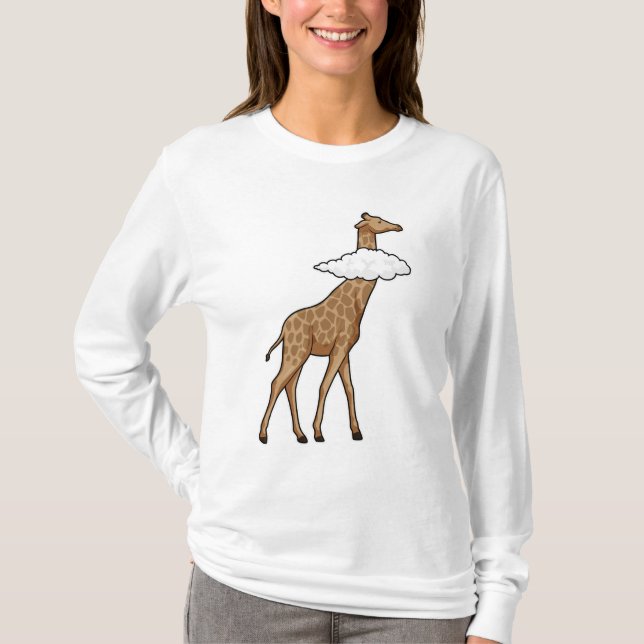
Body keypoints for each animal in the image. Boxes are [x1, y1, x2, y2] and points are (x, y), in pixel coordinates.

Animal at [259, 212, 404, 444]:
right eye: (379, 221)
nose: (398, 226)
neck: (357, 301)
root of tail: (283, 329)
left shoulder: (345, 351)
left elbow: (350, 388)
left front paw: (356, 431)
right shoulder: (339, 349)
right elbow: (324, 385)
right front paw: (318, 432)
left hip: (298, 353)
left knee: (290, 385)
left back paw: (300, 435)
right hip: (296, 352)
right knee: (277, 382)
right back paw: (264, 434)